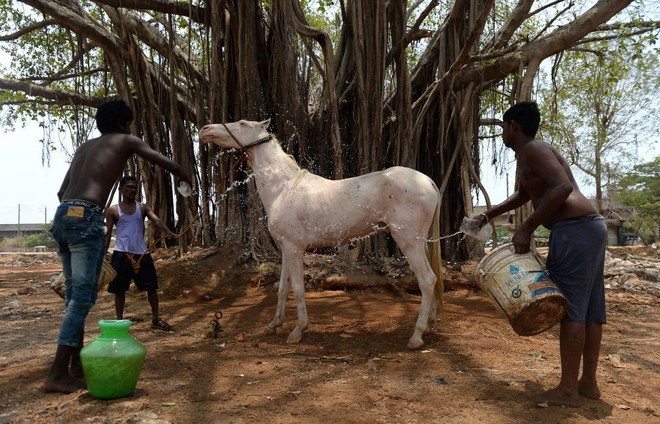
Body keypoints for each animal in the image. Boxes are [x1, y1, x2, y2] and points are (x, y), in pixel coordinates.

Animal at [199, 120, 440, 352]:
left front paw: (298, 330)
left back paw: (417, 336)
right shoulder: (285, 249)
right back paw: (428, 326)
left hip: (408, 241)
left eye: (242, 123)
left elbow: (297, 288)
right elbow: (282, 288)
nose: (205, 130)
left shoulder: (295, 248)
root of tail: (428, 181)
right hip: (420, 242)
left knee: (427, 280)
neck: (283, 188)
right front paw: (274, 324)